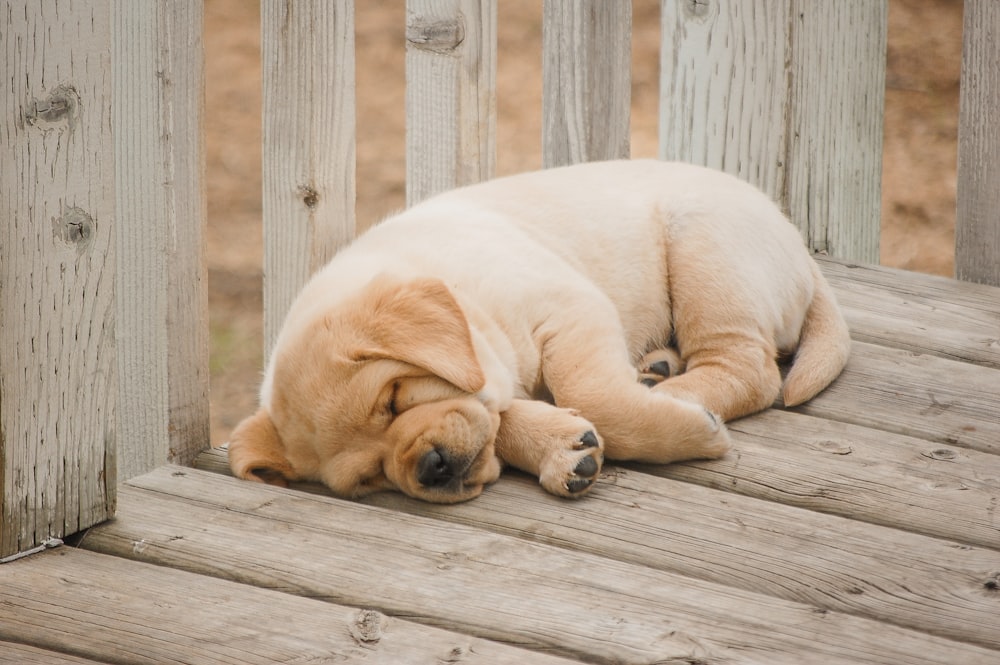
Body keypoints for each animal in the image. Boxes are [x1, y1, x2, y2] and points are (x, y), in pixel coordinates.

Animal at [229, 161, 852, 504]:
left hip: (706, 251)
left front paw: (679, 426)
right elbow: (503, 417)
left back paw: (677, 393)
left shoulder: (569, 308)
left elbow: (587, 390)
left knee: (750, 367)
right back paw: (656, 370)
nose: (431, 468)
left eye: (394, 400)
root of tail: (798, 244)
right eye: (367, 479)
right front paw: (561, 445)